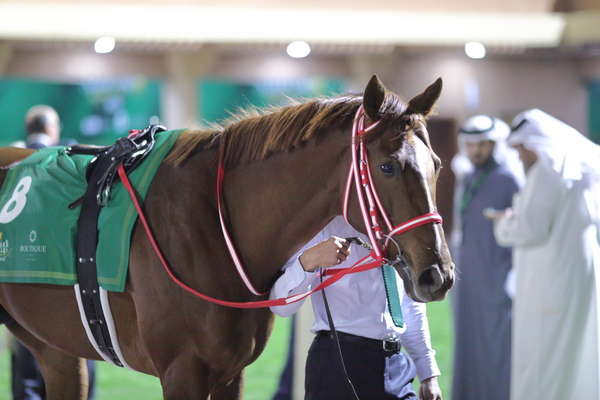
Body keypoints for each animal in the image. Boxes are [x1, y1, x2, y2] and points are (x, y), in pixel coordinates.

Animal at [0, 74, 452, 396]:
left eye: (437, 164)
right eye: (388, 166)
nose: (438, 275)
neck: (215, 227)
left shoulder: (231, 372)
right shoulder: (181, 371)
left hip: (53, 348)